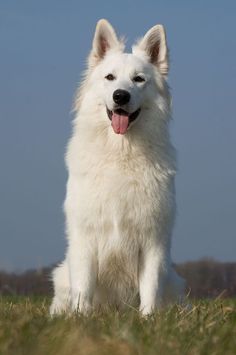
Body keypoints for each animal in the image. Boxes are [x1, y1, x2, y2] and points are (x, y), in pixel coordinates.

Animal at [50, 19, 184, 318]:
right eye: (110, 77)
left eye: (139, 79)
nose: (120, 96)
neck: (121, 153)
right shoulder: (85, 238)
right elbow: (83, 288)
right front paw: (81, 318)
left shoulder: (153, 240)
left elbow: (150, 288)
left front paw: (147, 319)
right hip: (62, 273)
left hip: (174, 279)